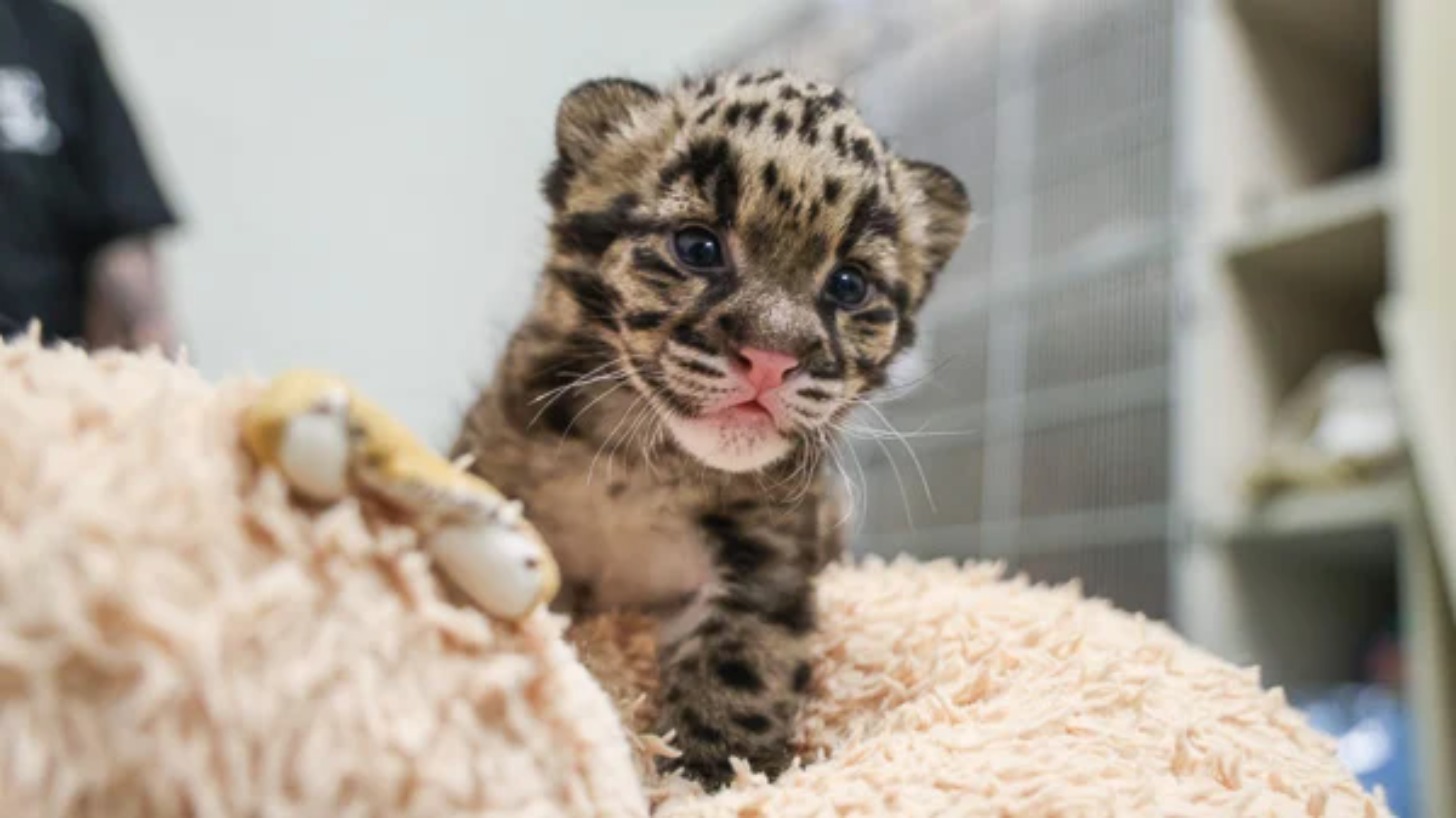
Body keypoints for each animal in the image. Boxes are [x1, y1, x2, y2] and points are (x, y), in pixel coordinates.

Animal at [451, 69, 971, 790]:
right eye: (698, 247)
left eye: (849, 284)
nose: (772, 357)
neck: (642, 464)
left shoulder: (767, 553)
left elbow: (742, 658)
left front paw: (715, 773)